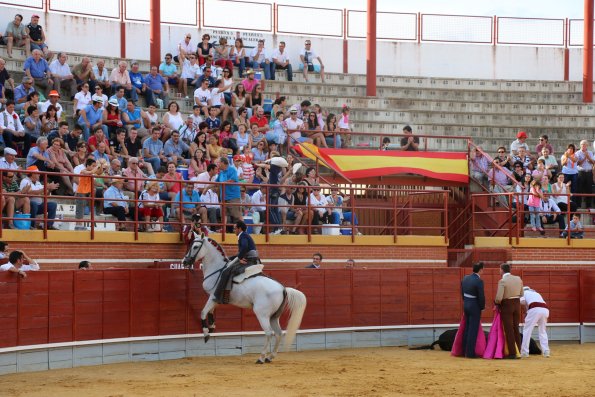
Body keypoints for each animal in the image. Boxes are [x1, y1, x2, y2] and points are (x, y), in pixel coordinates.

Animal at [183, 234, 310, 364]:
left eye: (195, 246)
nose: (185, 261)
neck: (217, 269)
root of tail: (283, 289)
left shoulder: (213, 295)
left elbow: (203, 312)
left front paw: (206, 334)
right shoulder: (216, 298)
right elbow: (210, 311)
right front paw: (212, 328)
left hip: (262, 314)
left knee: (269, 333)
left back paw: (261, 357)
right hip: (274, 316)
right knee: (279, 333)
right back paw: (270, 357)